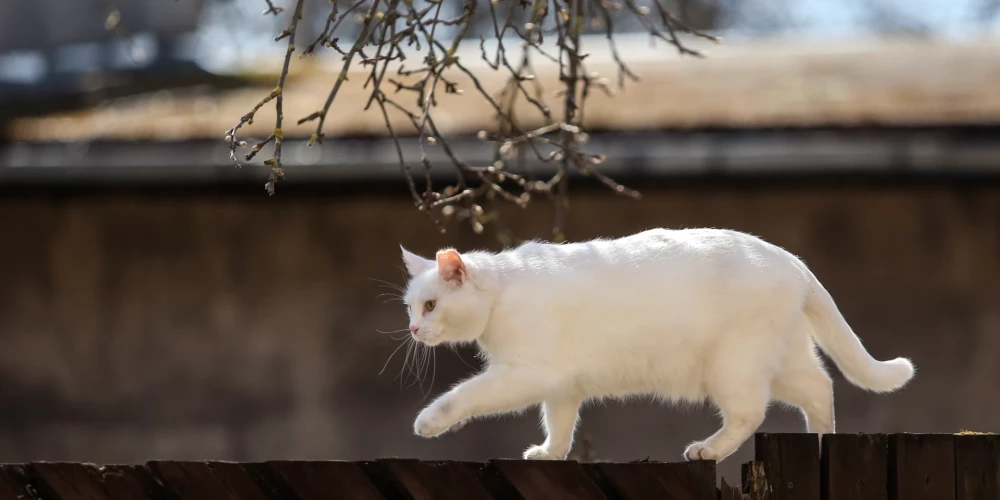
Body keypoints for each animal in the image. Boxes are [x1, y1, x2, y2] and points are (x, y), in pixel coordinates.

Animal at [398, 229, 916, 462]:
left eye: (430, 305)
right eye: (410, 308)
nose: (414, 330)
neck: (503, 291)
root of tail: (790, 258)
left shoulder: (527, 372)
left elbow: (464, 395)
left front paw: (429, 422)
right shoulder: (561, 384)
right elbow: (560, 424)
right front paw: (549, 453)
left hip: (733, 367)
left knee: (751, 414)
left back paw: (708, 449)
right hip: (783, 362)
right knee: (821, 388)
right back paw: (822, 441)